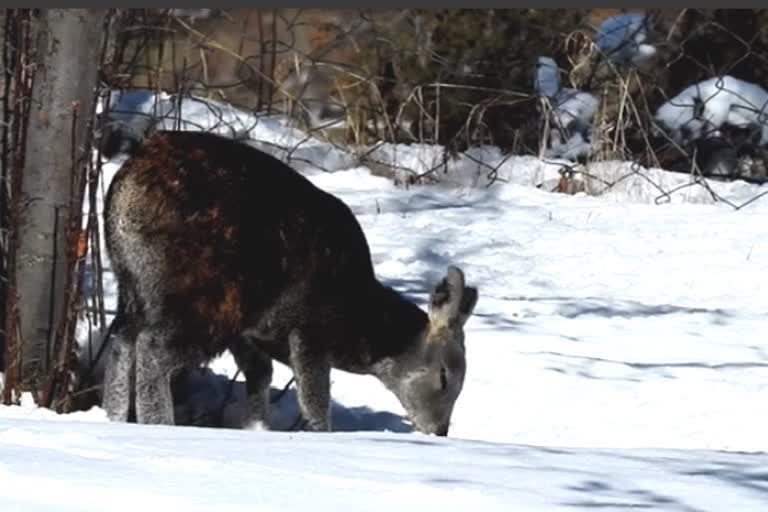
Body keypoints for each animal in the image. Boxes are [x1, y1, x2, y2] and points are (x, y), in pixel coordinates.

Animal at [102, 131, 474, 436]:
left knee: (122, 339)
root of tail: (127, 181)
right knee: (152, 348)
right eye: (444, 377)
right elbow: (315, 403)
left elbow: (260, 375)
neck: (356, 327)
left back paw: (116, 418)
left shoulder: (251, 334)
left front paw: (257, 428)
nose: (440, 431)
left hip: (133, 285)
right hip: (208, 295)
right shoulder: (310, 329)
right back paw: (159, 424)